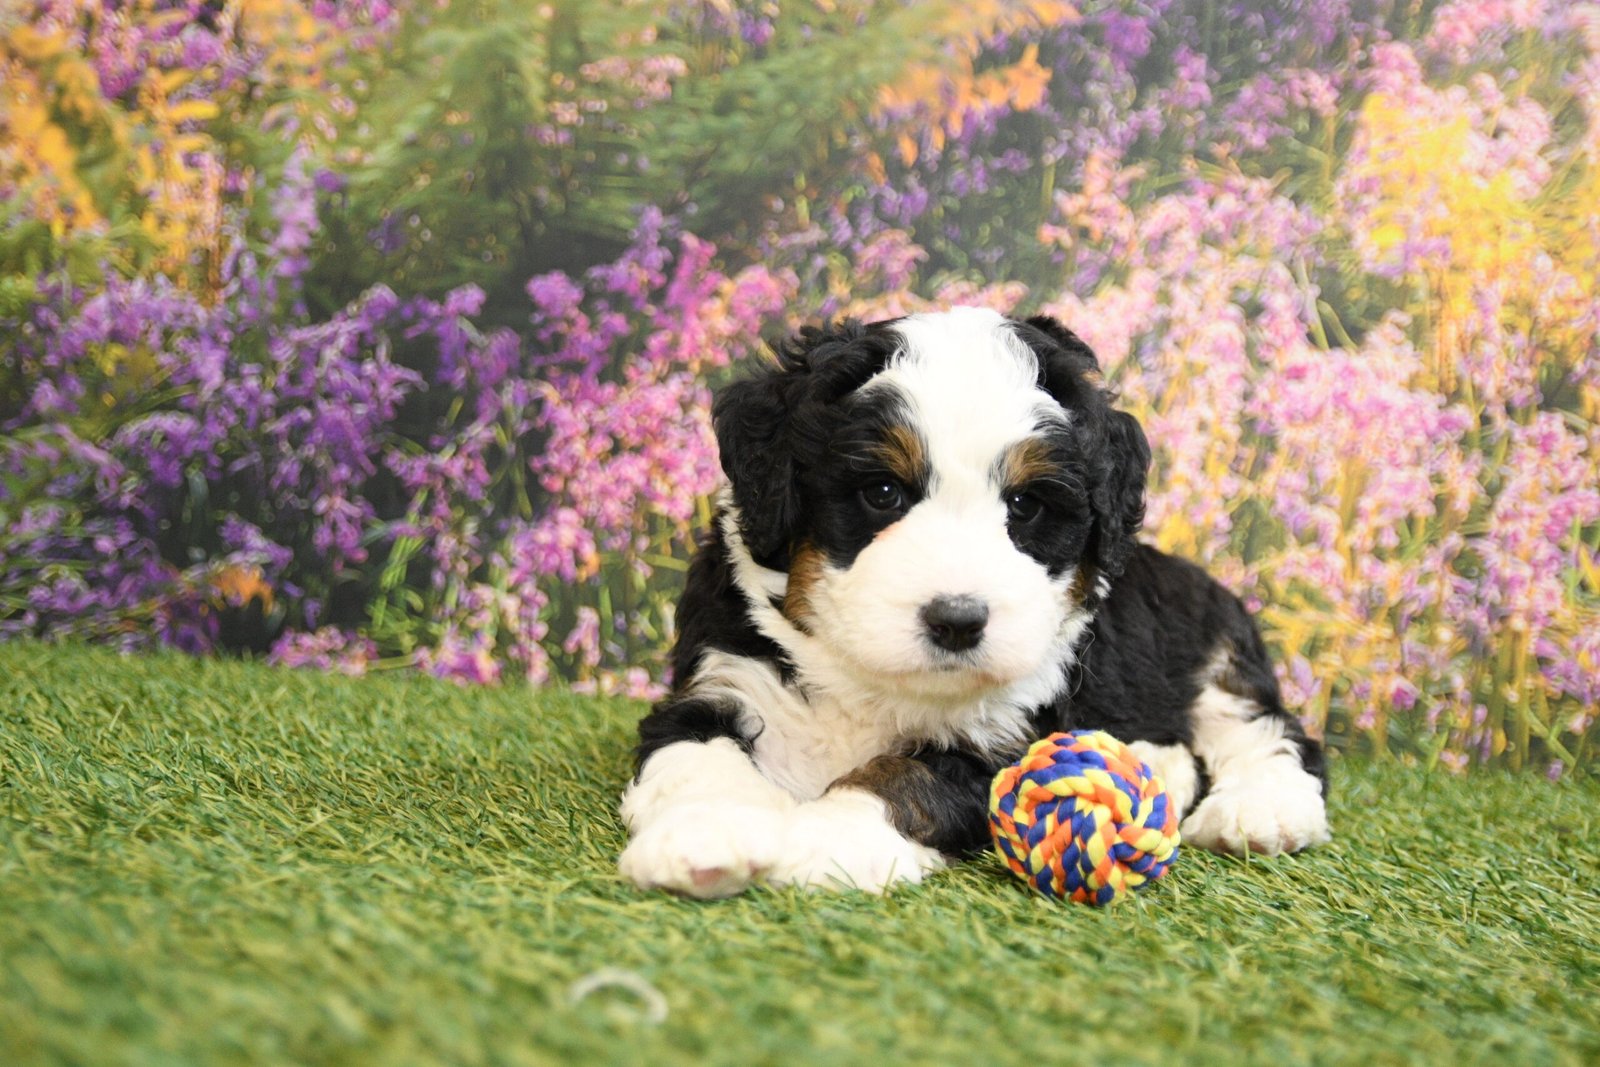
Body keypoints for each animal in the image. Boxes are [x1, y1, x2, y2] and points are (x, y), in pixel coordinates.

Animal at [619, 306, 1329, 897]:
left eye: (1026, 505)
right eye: (882, 492)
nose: (957, 622)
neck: (869, 685)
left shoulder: (1010, 731)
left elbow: (907, 778)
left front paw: (823, 841)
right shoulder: (726, 674)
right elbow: (696, 754)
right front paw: (703, 838)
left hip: (1215, 650)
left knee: (1270, 733)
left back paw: (1258, 810)